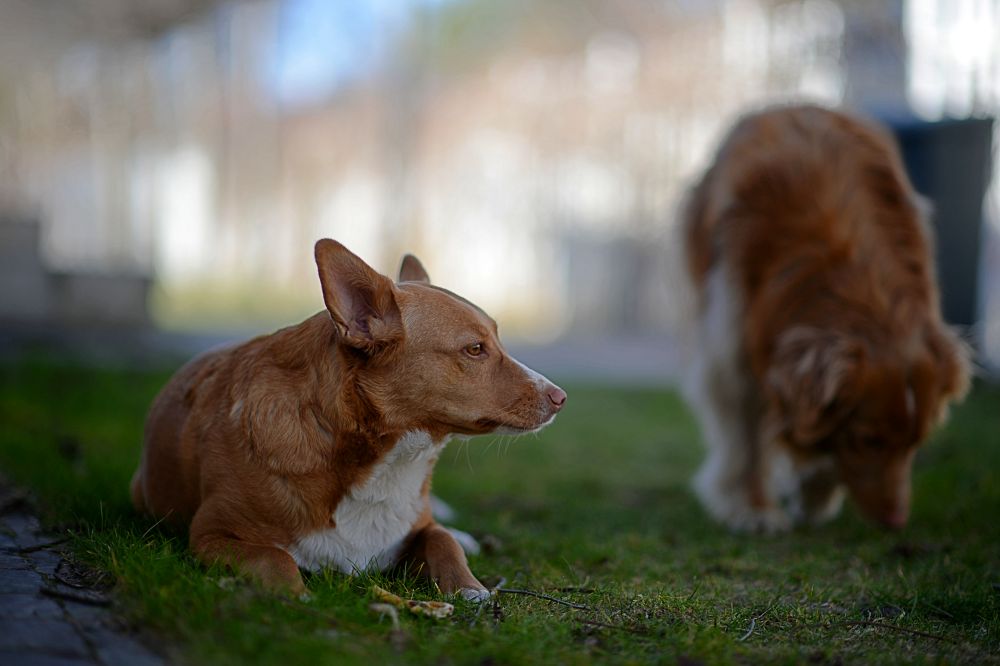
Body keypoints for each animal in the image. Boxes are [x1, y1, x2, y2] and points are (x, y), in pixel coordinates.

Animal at [127, 239, 564, 596]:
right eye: (475, 349)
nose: (560, 398)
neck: (391, 459)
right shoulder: (210, 534)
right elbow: (275, 557)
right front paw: (295, 595)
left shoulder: (421, 527)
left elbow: (443, 541)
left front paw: (471, 588)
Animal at [680, 105, 968, 528]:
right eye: (868, 440)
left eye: (916, 441)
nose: (896, 520)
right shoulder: (732, 333)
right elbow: (746, 427)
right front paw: (753, 507)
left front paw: (814, 492)